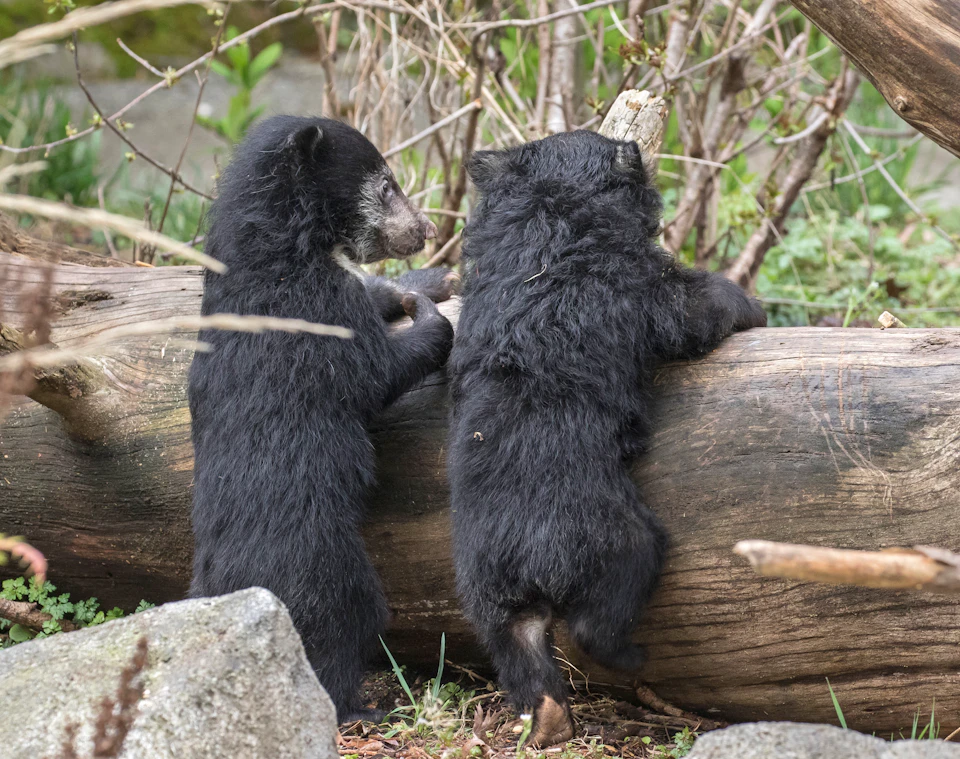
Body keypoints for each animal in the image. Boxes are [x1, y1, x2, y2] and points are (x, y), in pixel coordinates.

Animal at [188, 115, 456, 723]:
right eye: (387, 186)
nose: (427, 229)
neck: (289, 245)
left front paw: (426, 282)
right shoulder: (315, 312)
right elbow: (375, 372)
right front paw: (429, 315)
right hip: (327, 568)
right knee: (342, 629)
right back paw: (362, 709)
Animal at [447, 130, 767, 746]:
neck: (549, 216)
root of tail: (528, 557)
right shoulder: (639, 288)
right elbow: (691, 308)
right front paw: (751, 307)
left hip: (482, 582)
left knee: (513, 642)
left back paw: (546, 719)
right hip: (610, 539)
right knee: (607, 610)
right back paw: (631, 661)